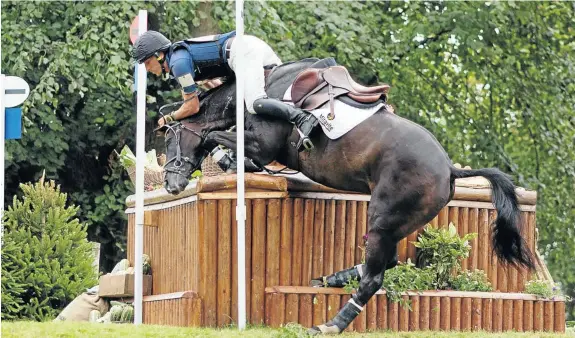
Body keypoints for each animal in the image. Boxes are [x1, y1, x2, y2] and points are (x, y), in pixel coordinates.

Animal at [158, 58, 536, 336]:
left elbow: (214, 137)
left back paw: (330, 325)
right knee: (389, 262)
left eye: (167, 139)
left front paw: (224, 156)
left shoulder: (263, 145)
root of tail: (449, 169)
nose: (171, 185)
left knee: (375, 277)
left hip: (383, 217)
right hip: (397, 221)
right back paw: (332, 279)